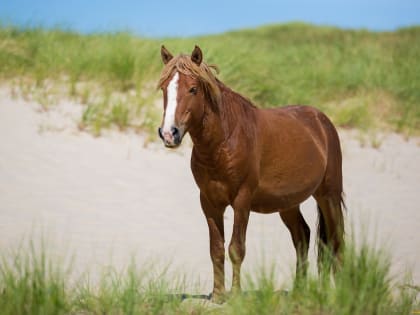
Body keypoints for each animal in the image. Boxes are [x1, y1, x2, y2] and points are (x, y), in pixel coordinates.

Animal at [158, 45, 344, 304]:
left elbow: (236, 248)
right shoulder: (209, 203)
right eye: (165, 88)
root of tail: (321, 121)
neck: (224, 141)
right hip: (288, 204)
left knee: (336, 240)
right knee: (303, 237)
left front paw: (235, 296)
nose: (169, 134)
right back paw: (300, 291)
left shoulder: (242, 201)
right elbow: (216, 249)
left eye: (193, 89)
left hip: (329, 195)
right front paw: (218, 295)